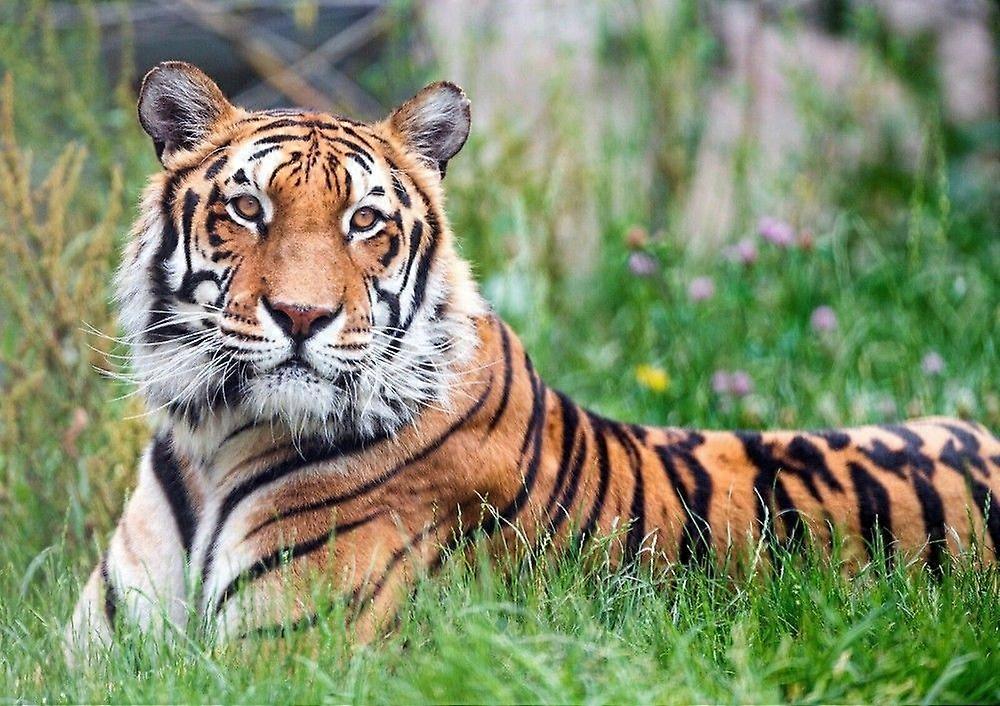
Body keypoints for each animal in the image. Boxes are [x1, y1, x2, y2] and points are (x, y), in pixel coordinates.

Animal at [66, 61, 1000, 657]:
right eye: (248, 209)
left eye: (364, 222)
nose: (301, 316)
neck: (215, 436)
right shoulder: (89, 663)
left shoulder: (280, 660)